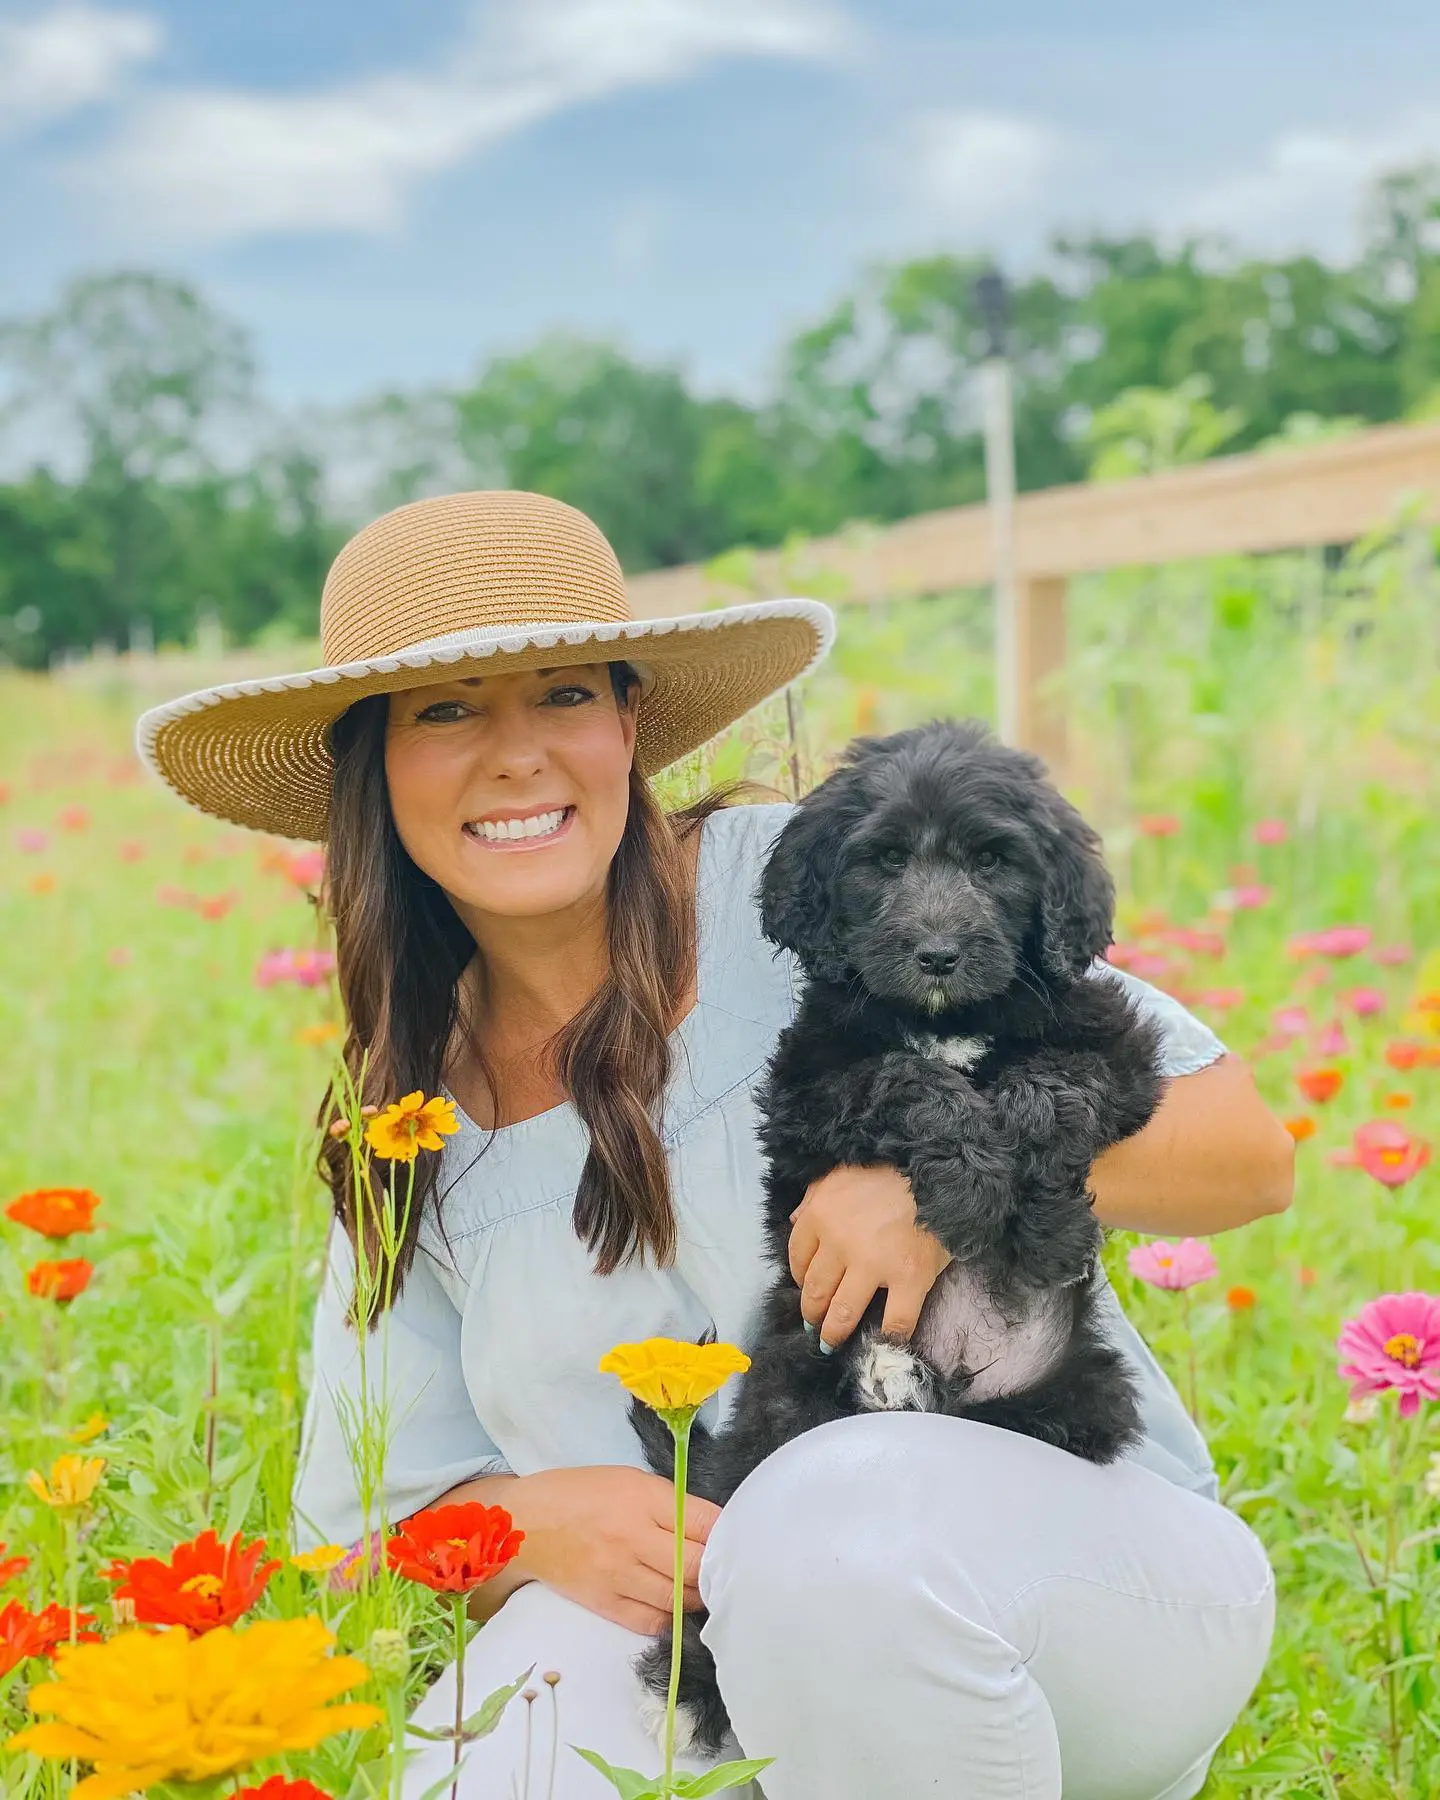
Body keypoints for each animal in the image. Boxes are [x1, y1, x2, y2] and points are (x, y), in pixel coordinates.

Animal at [633, 720, 1166, 1756]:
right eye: (882, 860)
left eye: (995, 861)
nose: (938, 953)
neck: (949, 1023)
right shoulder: (810, 1088)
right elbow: (906, 1084)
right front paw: (969, 1177)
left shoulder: (1117, 1042)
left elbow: (1056, 1083)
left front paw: (1040, 1216)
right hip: (784, 1408)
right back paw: (691, 1686)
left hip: (1071, 1400)